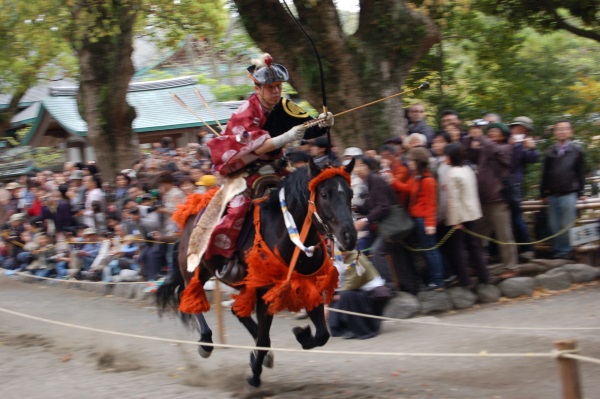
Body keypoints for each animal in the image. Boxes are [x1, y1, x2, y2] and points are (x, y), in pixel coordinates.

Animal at [157, 159, 358, 388]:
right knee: (189, 297)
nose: (349, 236)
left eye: (351, 193)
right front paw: (254, 374)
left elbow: (322, 335)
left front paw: (300, 335)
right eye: (324, 194)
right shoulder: (265, 292)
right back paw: (206, 343)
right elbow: (264, 338)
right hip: (195, 271)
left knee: (236, 310)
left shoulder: (308, 284)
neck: (286, 235)